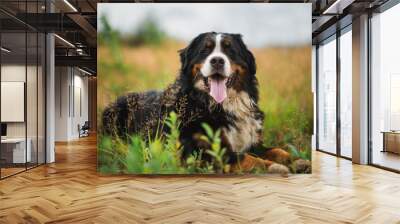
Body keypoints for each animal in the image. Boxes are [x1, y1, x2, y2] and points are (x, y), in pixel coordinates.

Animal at [101, 32, 296, 173]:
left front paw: (295, 160)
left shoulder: (251, 142)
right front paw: (273, 167)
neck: (218, 106)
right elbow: (246, 159)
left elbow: (277, 150)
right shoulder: (199, 151)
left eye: (230, 50)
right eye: (205, 50)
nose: (217, 60)